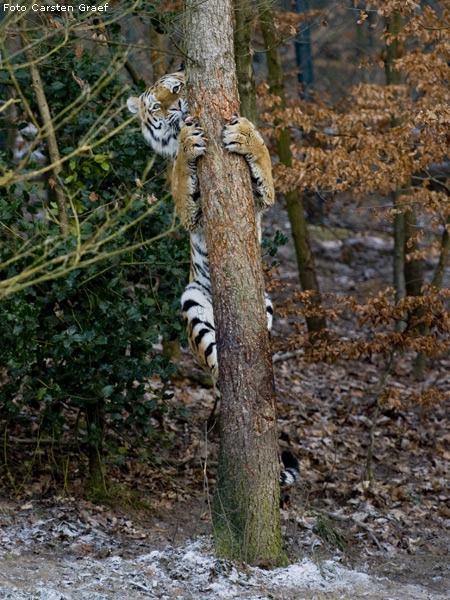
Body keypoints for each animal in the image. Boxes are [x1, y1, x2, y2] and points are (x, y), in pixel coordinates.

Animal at [126, 71, 298, 492]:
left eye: (175, 87)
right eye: (155, 106)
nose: (175, 106)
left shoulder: (260, 199)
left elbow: (264, 163)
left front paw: (246, 135)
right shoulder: (190, 211)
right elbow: (181, 179)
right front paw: (188, 145)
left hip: (264, 304)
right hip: (193, 301)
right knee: (217, 365)